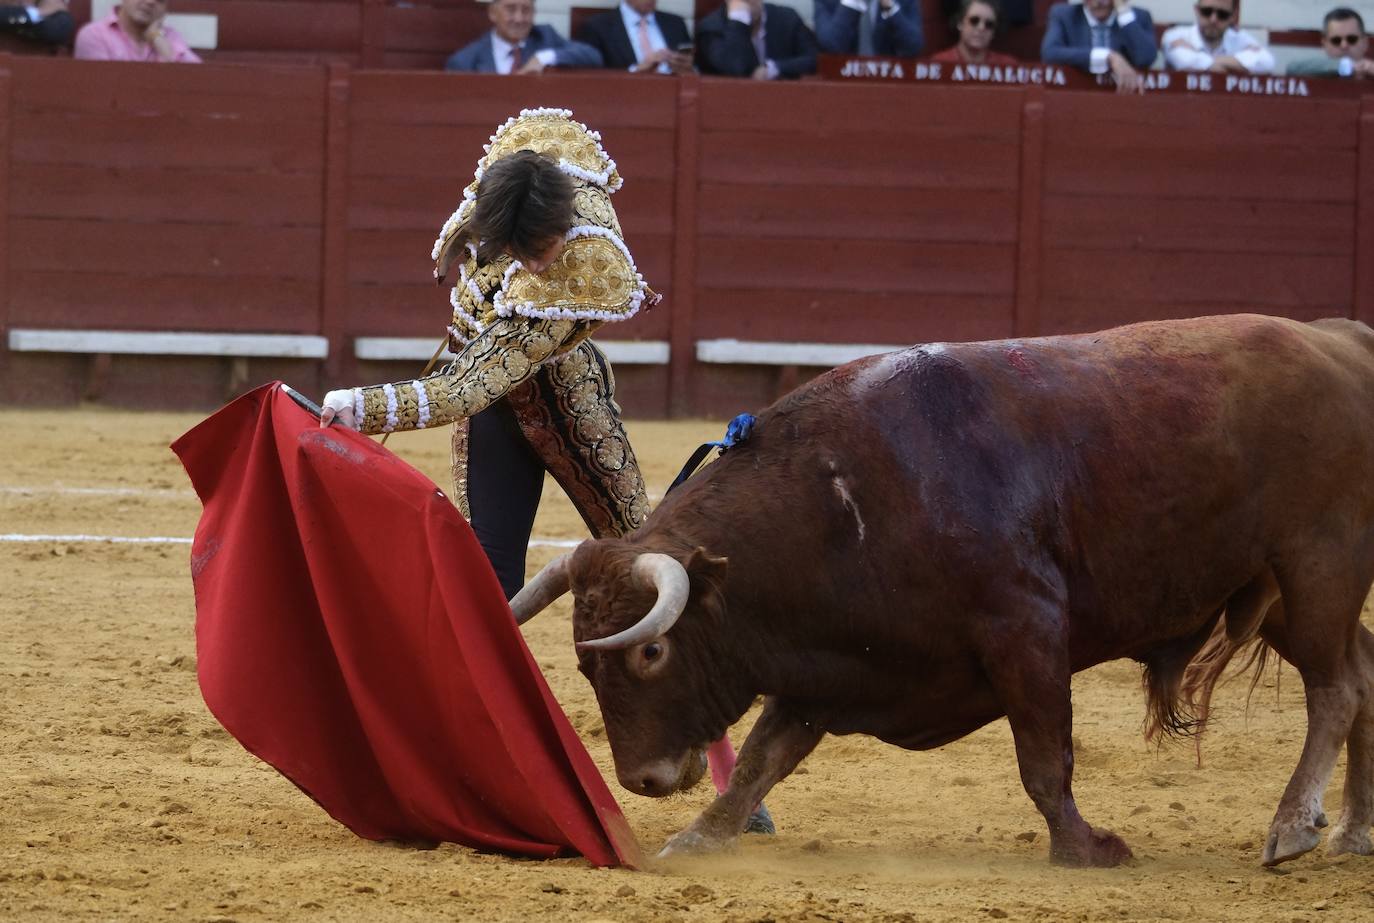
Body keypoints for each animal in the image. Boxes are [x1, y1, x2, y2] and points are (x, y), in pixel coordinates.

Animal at [508, 315, 1374, 868]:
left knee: (1334, 688)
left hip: (1318, 561)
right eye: (584, 665)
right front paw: (700, 836)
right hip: (1280, 594)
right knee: (1362, 674)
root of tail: (1344, 340)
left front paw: (1086, 848)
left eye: (653, 649)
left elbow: (1044, 756)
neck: (841, 499)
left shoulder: (1026, 628)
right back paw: (1351, 832)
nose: (643, 780)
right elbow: (762, 756)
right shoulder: (834, 666)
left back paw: (1292, 829)